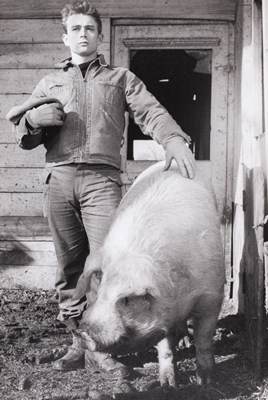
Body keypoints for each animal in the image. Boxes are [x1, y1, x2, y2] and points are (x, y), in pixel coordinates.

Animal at [73, 161, 224, 390]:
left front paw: (205, 382)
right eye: (101, 291)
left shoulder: (212, 295)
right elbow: (165, 347)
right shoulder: (162, 312)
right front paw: (167, 385)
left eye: (127, 299)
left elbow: (205, 339)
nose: (82, 331)